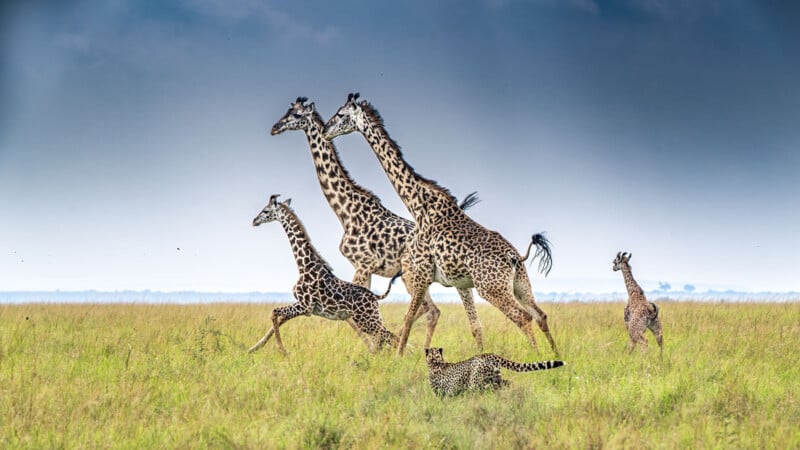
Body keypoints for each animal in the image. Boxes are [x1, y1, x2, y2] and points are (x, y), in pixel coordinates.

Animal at [247, 194, 399, 355]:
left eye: (265, 210)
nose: (254, 221)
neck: (303, 265)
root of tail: (375, 297)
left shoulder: (305, 306)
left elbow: (274, 312)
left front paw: (282, 350)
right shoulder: (304, 306)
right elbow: (277, 316)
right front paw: (255, 348)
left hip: (367, 320)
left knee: (392, 338)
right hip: (370, 320)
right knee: (386, 339)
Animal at [270, 97, 485, 350]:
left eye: (295, 115)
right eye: (288, 111)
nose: (275, 128)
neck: (346, 211)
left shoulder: (363, 265)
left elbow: (353, 314)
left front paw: (375, 348)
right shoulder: (366, 269)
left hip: (413, 276)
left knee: (430, 310)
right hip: (444, 278)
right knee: (460, 317)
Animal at [323, 93, 557, 356]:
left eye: (341, 114)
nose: (325, 130)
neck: (418, 205)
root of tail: (515, 257)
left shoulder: (421, 272)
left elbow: (409, 317)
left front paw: (398, 356)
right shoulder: (437, 278)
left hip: (491, 288)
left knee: (522, 317)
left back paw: (538, 357)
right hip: (520, 285)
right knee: (540, 315)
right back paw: (557, 357)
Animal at [424, 347, 565, 397]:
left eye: (435, 355)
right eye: (432, 355)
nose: (433, 358)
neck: (436, 362)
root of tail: (489, 354)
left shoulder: (441, 392)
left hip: (475, 382)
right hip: (495, 378)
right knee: (507, 383)